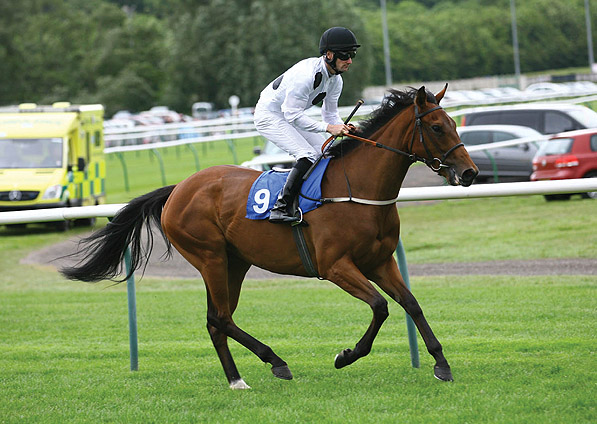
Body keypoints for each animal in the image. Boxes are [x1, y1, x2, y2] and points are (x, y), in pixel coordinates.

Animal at [61, 84, 480, 390]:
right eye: (438, 127)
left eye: (455, 124)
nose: (470, 173)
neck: (357, 190)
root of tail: (178, 188)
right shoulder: (335, 266)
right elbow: (380, 307)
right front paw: (345, 355)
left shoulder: (379, 261)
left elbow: (411, 304)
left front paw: (441, 363)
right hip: (210, 257)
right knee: (219, 318)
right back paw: (274, 362)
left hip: (235, 262)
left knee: (217, 320)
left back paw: (237, 378)